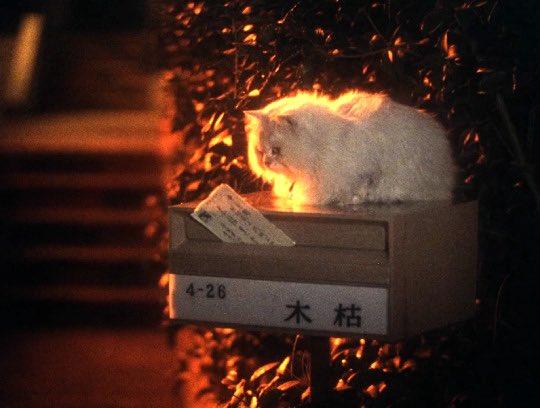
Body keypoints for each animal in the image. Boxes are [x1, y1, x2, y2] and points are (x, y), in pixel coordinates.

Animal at [245, 91, 457, 206]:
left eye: (276, 150)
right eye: (261, 151)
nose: (266, 162)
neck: (321, 144)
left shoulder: (366, 169)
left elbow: (359, 188)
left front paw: (350, 199)